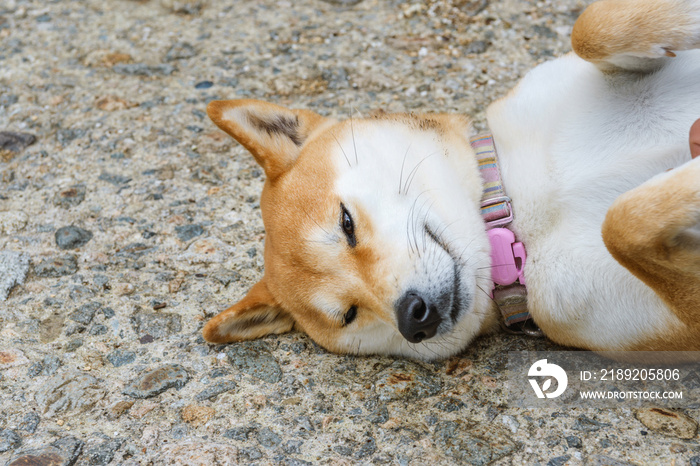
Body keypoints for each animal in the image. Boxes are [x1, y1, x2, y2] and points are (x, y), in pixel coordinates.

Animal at [200, 0, 700, 360]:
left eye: (346, 224)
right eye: (349, 314)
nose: (413, 318)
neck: (518, 211)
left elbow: (592, 27)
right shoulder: (680, 322)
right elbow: (624, 223)